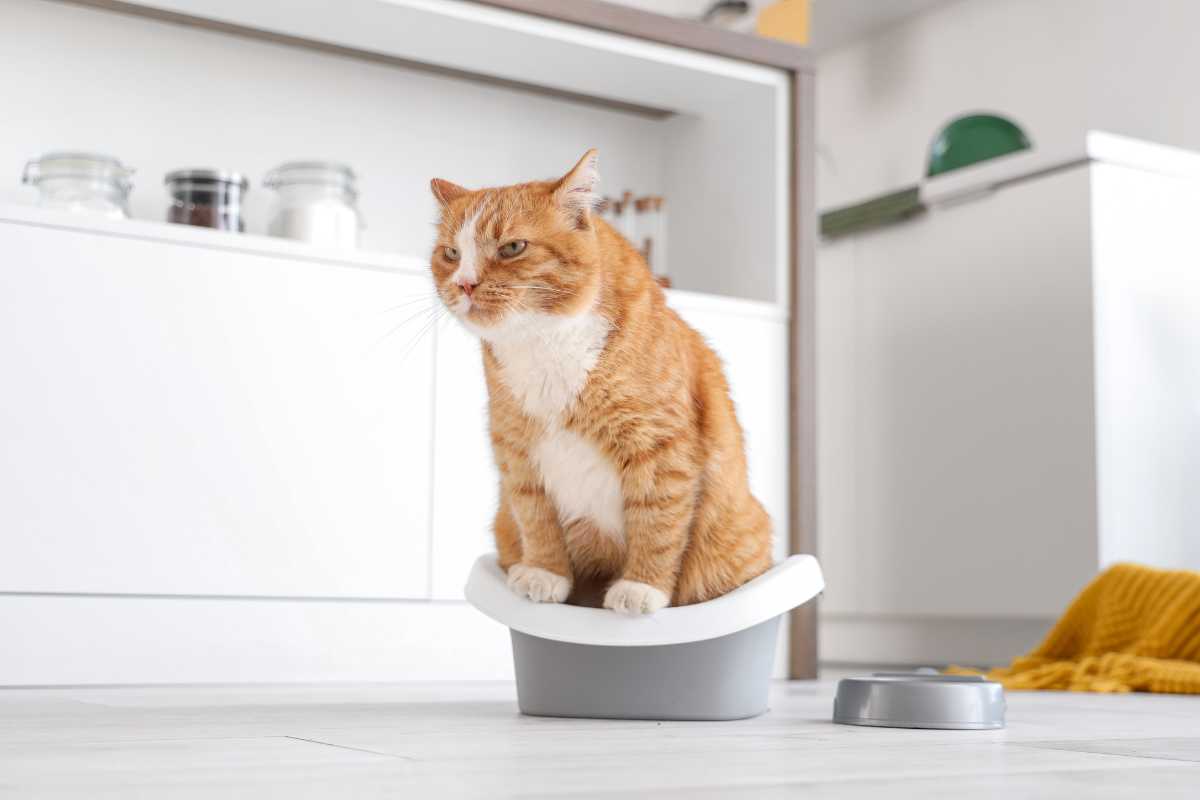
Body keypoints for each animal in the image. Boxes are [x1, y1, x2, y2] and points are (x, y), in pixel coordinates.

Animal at [429, 148, 768, 614]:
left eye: (512, 247)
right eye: (450, 253)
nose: (463, 283)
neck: (544, 342)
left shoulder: (660, 447)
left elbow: (658, 520)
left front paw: (642, 587)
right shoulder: (516, 451)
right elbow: (536, 519)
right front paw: (545, 574)